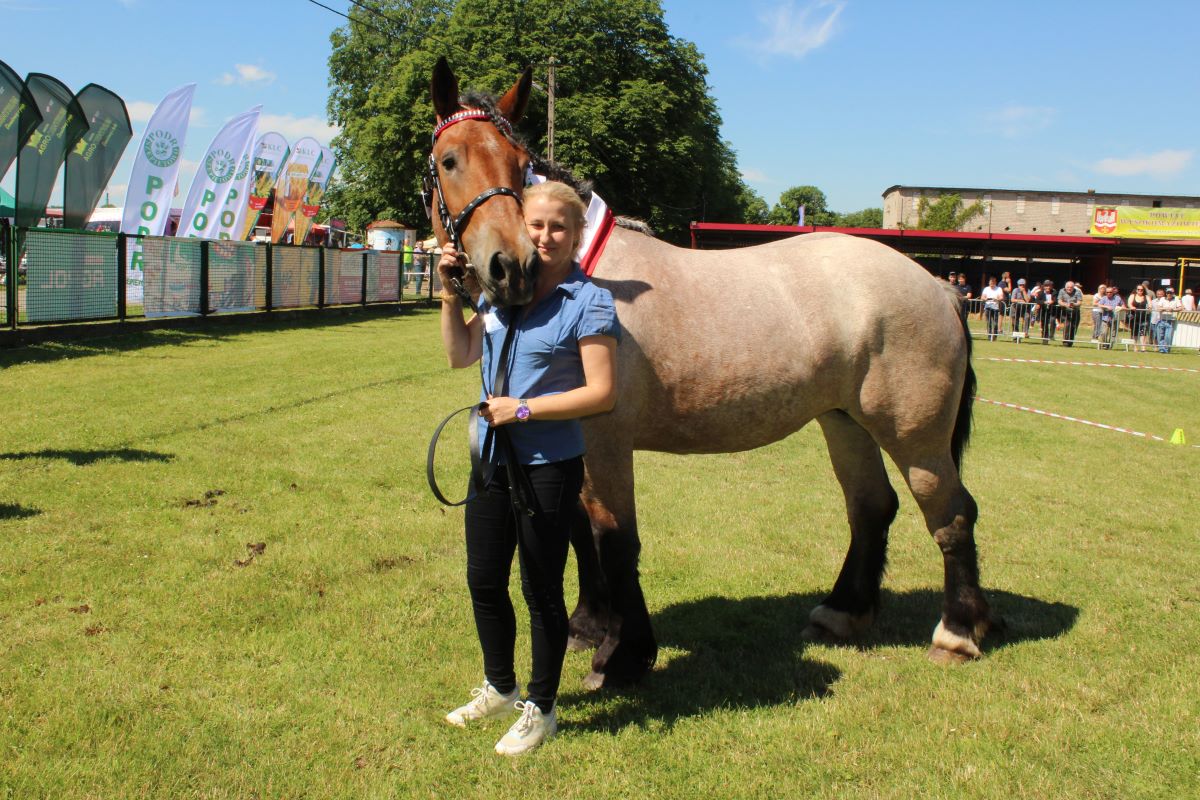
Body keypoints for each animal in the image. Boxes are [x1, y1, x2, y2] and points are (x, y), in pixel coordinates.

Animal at [427, 59, 998, 690]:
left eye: (516, 162)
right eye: (449, 159)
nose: (511, 267)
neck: (581, 278)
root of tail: (940, 287)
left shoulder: (606, 440)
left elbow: (613, 539)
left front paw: (622, 655)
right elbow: (578, 531)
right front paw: (587, 627)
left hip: (915, 435)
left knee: (951, 513)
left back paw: (957, 633)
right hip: (844, 422)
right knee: (872, 507)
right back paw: (842, 613)